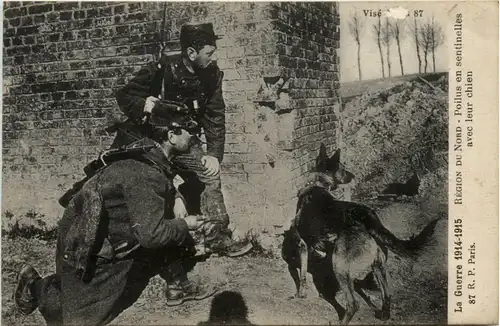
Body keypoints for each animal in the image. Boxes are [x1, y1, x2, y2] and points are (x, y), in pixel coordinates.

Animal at [282, 144, 442, 324]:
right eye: (342, 169)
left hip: (339, 265)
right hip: (378, 265)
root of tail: (370, 220)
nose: (353, 175)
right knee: (387, 294)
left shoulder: (302, 245)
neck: (318, 184)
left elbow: (302, 274)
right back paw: (384, 315)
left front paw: (301, 294)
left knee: (353, 303)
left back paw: (341, 320)